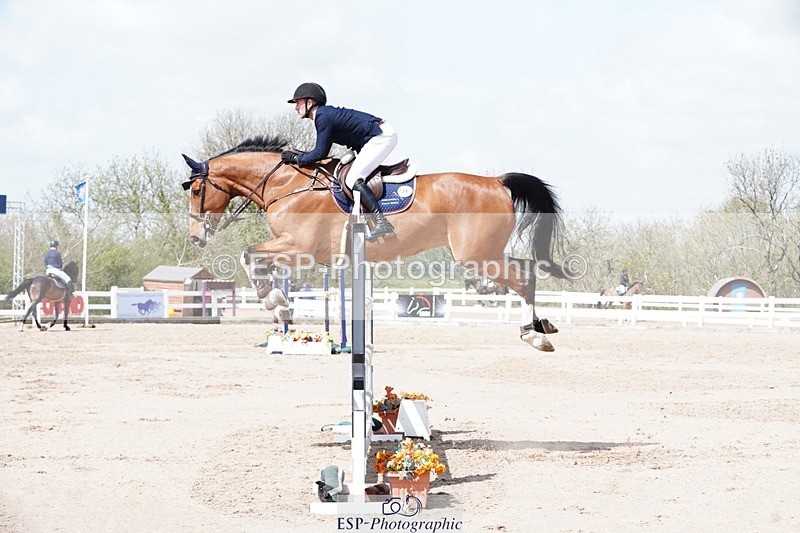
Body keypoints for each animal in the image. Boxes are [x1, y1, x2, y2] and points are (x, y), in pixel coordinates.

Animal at [181, 135, 572, 351]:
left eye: (197, 191)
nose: (196, 237)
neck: (286, 185)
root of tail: (497, 181)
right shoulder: (294, 249)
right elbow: (253, 259)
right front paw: (277, 303)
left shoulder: (299, 248)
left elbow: (248, 255)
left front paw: (275, 302)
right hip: (487, 253)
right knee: (527, 272)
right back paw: (543, 325)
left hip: (477, 256)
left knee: (521, 278)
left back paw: (535, 336)